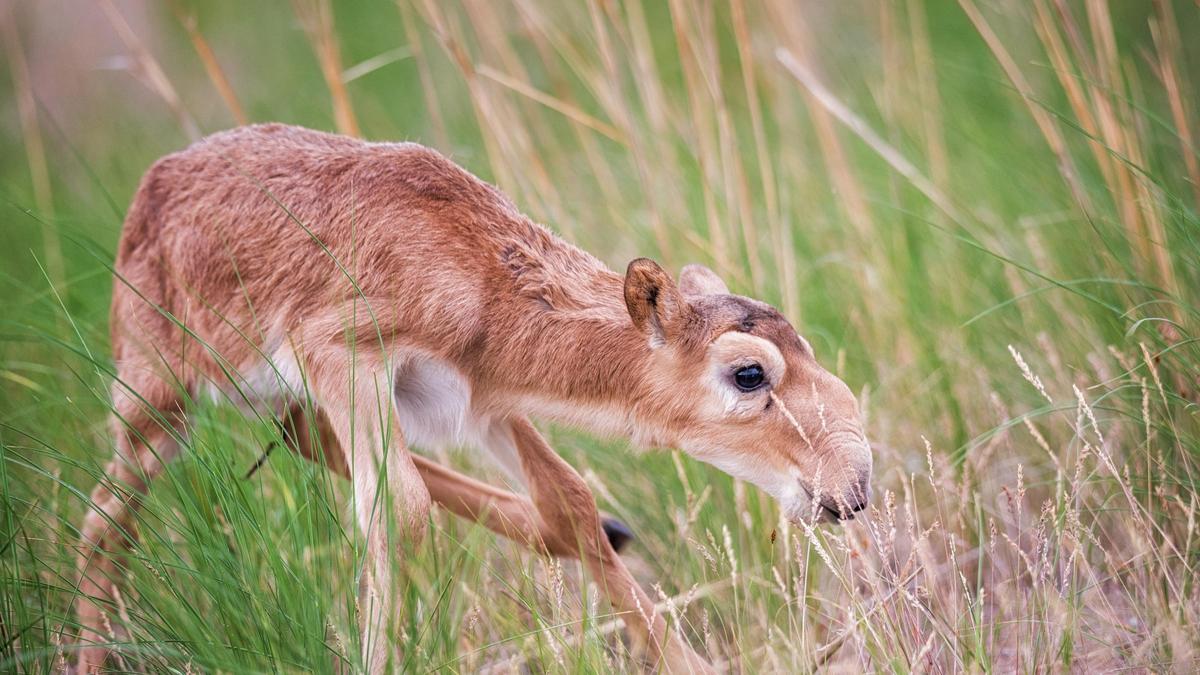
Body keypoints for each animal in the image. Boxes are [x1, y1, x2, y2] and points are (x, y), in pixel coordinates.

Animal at [79, 123, 878, 667]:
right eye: (749, 374)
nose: (853, 486)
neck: (478, 279)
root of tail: (148, 193)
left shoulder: (480, 399)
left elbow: (569, 496)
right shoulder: (343, 354)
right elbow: (396, 510)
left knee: (302, 436)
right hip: (156, 401)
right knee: (102, 523)